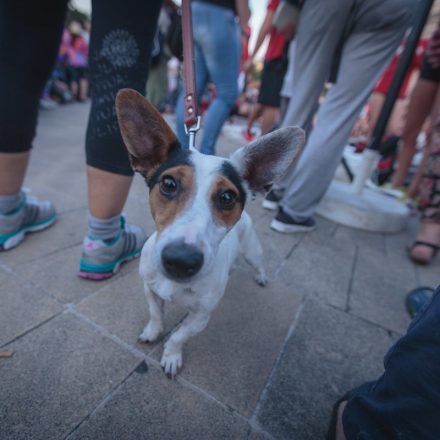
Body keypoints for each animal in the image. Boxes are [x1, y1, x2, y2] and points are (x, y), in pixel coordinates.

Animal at [115, 89, 304, 378]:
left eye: (227, 197)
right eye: (168, 184)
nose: (180, 260)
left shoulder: (201, 317)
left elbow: (179, 335)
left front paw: (171, 356)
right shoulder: (150, 289)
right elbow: (155, 314)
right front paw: (152, 331)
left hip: (252, 249)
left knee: (259, 263)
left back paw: (261, 276)